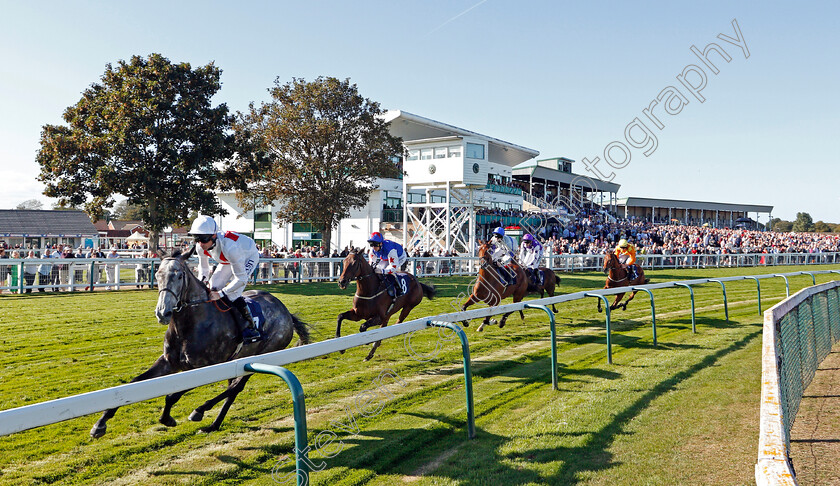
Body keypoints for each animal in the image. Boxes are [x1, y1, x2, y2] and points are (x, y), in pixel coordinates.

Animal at [89, 245, 312, 438]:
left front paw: (168, 418)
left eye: (179, 275)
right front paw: (100, 423)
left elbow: (173, 395)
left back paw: (201, 411)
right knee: (232, 390)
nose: (163, 313)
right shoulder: (168, 362)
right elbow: (132, 385)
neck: (189, 324)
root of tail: (285, 312)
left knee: (235, 388)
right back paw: (214, 424)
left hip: (264, 354)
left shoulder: (204, 367)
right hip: (237, 360)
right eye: (158, 274)